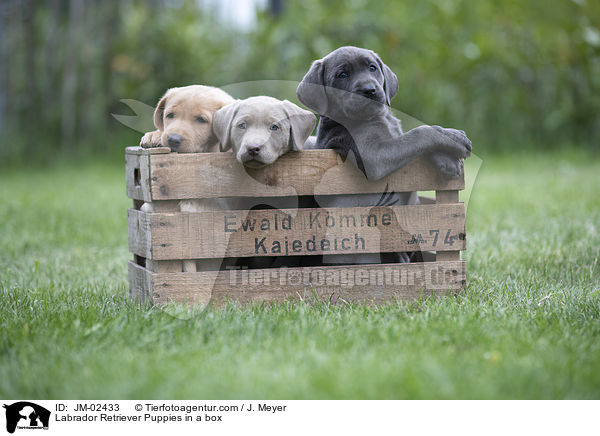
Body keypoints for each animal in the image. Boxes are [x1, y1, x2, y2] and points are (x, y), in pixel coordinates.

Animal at [298, 46, 472, 266]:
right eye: (342, 75)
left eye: (372, 68)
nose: (369, 90)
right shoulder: (372, 156)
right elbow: (419, 132)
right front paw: (454, 138)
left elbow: (414, 141)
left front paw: (447, 159)